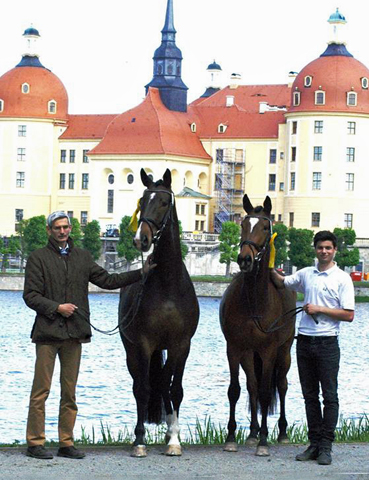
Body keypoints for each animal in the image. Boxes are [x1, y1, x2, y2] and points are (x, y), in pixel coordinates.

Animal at [118, 169, 198, 458]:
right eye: (143, 201)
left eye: (163, 202)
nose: (140, 239)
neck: (167, 286)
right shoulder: (144, 344)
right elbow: (144, 389)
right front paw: (140, 441)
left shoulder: (180, 345)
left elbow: (172, 389)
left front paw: (174, 438)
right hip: (132, 350)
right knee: (139, 385)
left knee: (165, 385)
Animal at [220, 196, 294, 458]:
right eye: (243, 224)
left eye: (264, 227)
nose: (245, 259)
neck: (253, 301)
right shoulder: (235, 349)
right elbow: (235, 390)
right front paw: (232, 437)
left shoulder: (269, 351)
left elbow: (265, 392)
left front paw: (264, 441)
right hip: (249, 355)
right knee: (252, 386)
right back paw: (252, 432)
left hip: (284, 352)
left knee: (281, 385)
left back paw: (281, 432)